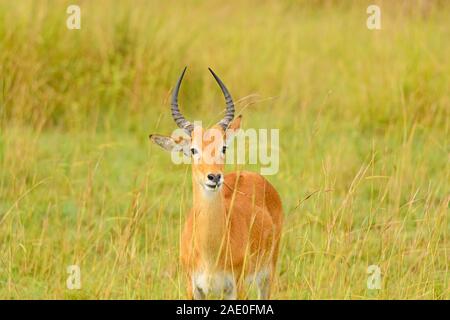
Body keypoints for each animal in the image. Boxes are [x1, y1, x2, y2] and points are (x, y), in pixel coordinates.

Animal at [149, 67, 284, 300]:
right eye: (193, 149)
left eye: (223, 147)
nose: (214, 177)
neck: (209, 252)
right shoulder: (193, 288)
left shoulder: (237, 288)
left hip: (267, 273)